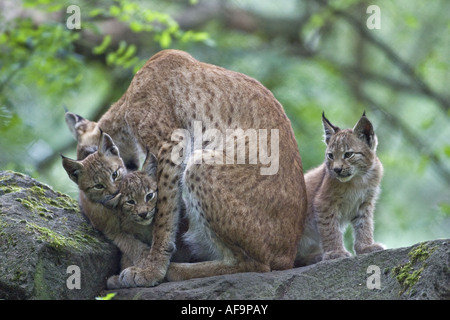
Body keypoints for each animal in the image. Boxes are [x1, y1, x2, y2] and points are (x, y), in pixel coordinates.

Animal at [298, 111, 384, 266]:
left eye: (348, 154)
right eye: (331, 156)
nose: (336, 170)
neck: (359, 178)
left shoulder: (365, 201)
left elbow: (364, 224)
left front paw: (365, 247)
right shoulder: (323, 202)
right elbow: (330, 229)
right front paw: (335, 253)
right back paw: (316, 257)